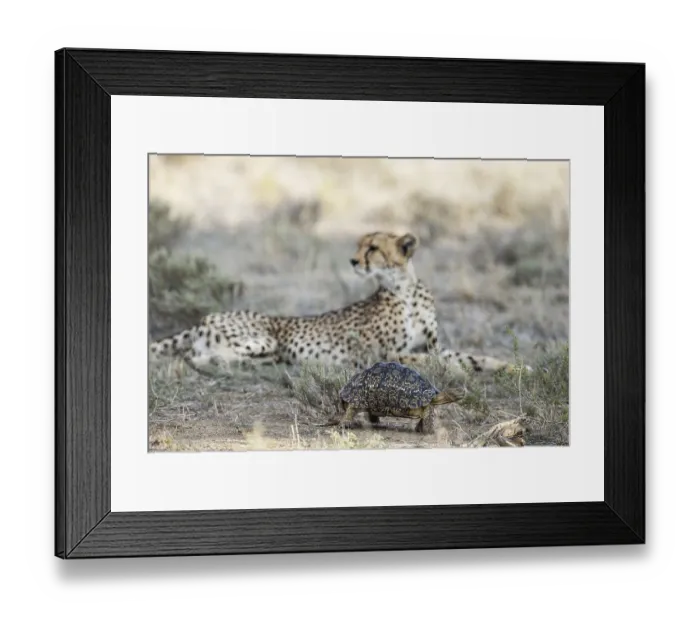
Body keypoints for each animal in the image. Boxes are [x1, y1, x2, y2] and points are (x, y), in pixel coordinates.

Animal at [149, 231, 520, 374]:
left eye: (373, 248)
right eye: (359, 245)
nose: (353, 261)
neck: (405, 289)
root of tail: (204, 318)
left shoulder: (432, 345)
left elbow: (472, 355)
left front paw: (514, 367)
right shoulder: (382, 354)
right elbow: (429, 361)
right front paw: (456, 370)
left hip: (266, 348)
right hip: (264, 339)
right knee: (193, 356)